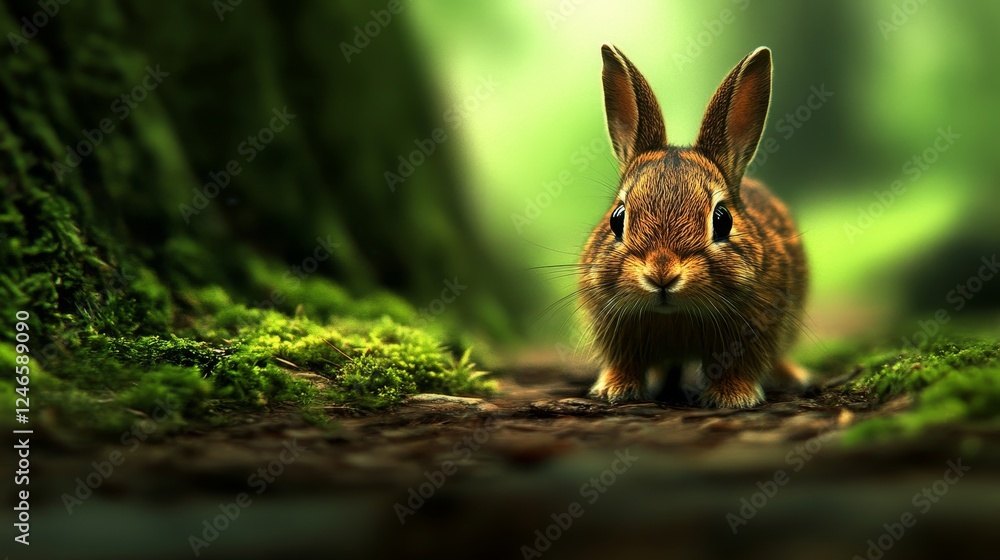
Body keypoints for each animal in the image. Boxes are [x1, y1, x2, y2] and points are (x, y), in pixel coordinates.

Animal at [579, 44, 809, 409]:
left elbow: (742, 364)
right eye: (617, 218)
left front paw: (732, 397)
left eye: (722, 219)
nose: (662, 274)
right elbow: (624, 361)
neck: (677, 315)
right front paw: (615, 389)